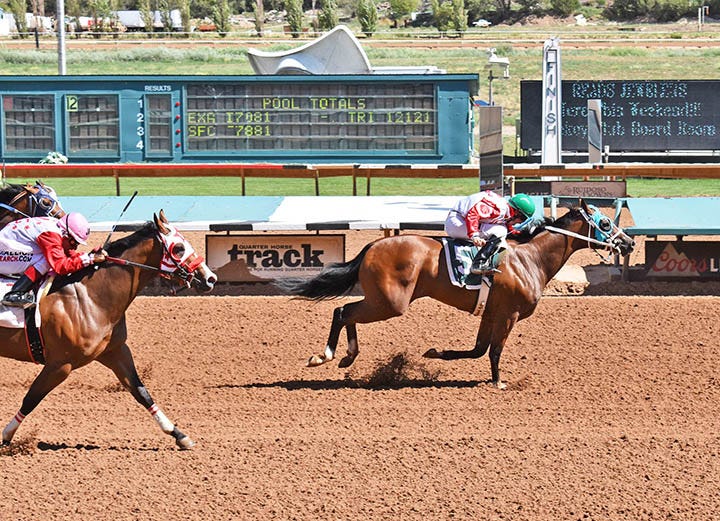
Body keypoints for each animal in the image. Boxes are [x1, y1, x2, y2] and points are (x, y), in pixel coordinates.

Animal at [0, 209, 217, 448]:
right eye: (178, 248)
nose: (210, 278)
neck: (90, 297)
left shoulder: (115, 351)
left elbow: (141, 391)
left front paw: (179, 434)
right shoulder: (60, 364)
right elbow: (31, 398)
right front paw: (6, 436)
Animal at [282, 201, 636, 388]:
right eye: (605, 222)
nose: (630, 243)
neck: (530, 258)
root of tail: (373, 245)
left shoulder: (491, 313)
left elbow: (478, 350)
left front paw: (435, 353)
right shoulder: (508, 314)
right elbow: (494, 352)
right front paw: (498, 382)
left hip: (383, 301)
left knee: (346, 312)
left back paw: (347, 356)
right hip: (390, 302)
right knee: (343, 311)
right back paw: (325, 355)